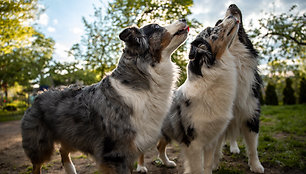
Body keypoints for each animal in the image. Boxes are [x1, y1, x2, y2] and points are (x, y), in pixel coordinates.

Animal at [20, 19, 189, 174]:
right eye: (156, 26)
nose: (183, 19)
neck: (143, 76)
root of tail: (39, 95)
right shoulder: (116, 154)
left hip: (71, 134)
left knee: (63, 151)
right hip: (40, 145)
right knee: (37, 166)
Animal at [140, 15, 240, 174]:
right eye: (213, 29)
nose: (231, 15)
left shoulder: (211, 140)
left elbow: (207, 166)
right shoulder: (194, 142)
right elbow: (198, 168)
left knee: (160, 146)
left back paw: (167, 163)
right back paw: (141, 167)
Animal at [212, 3, 264, 173]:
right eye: (218, 23)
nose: (232, 5)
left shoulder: (251, 112)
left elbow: (253, 146)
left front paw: (256, 165)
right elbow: (214, 148)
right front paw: (213, 164)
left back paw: (234, 148)